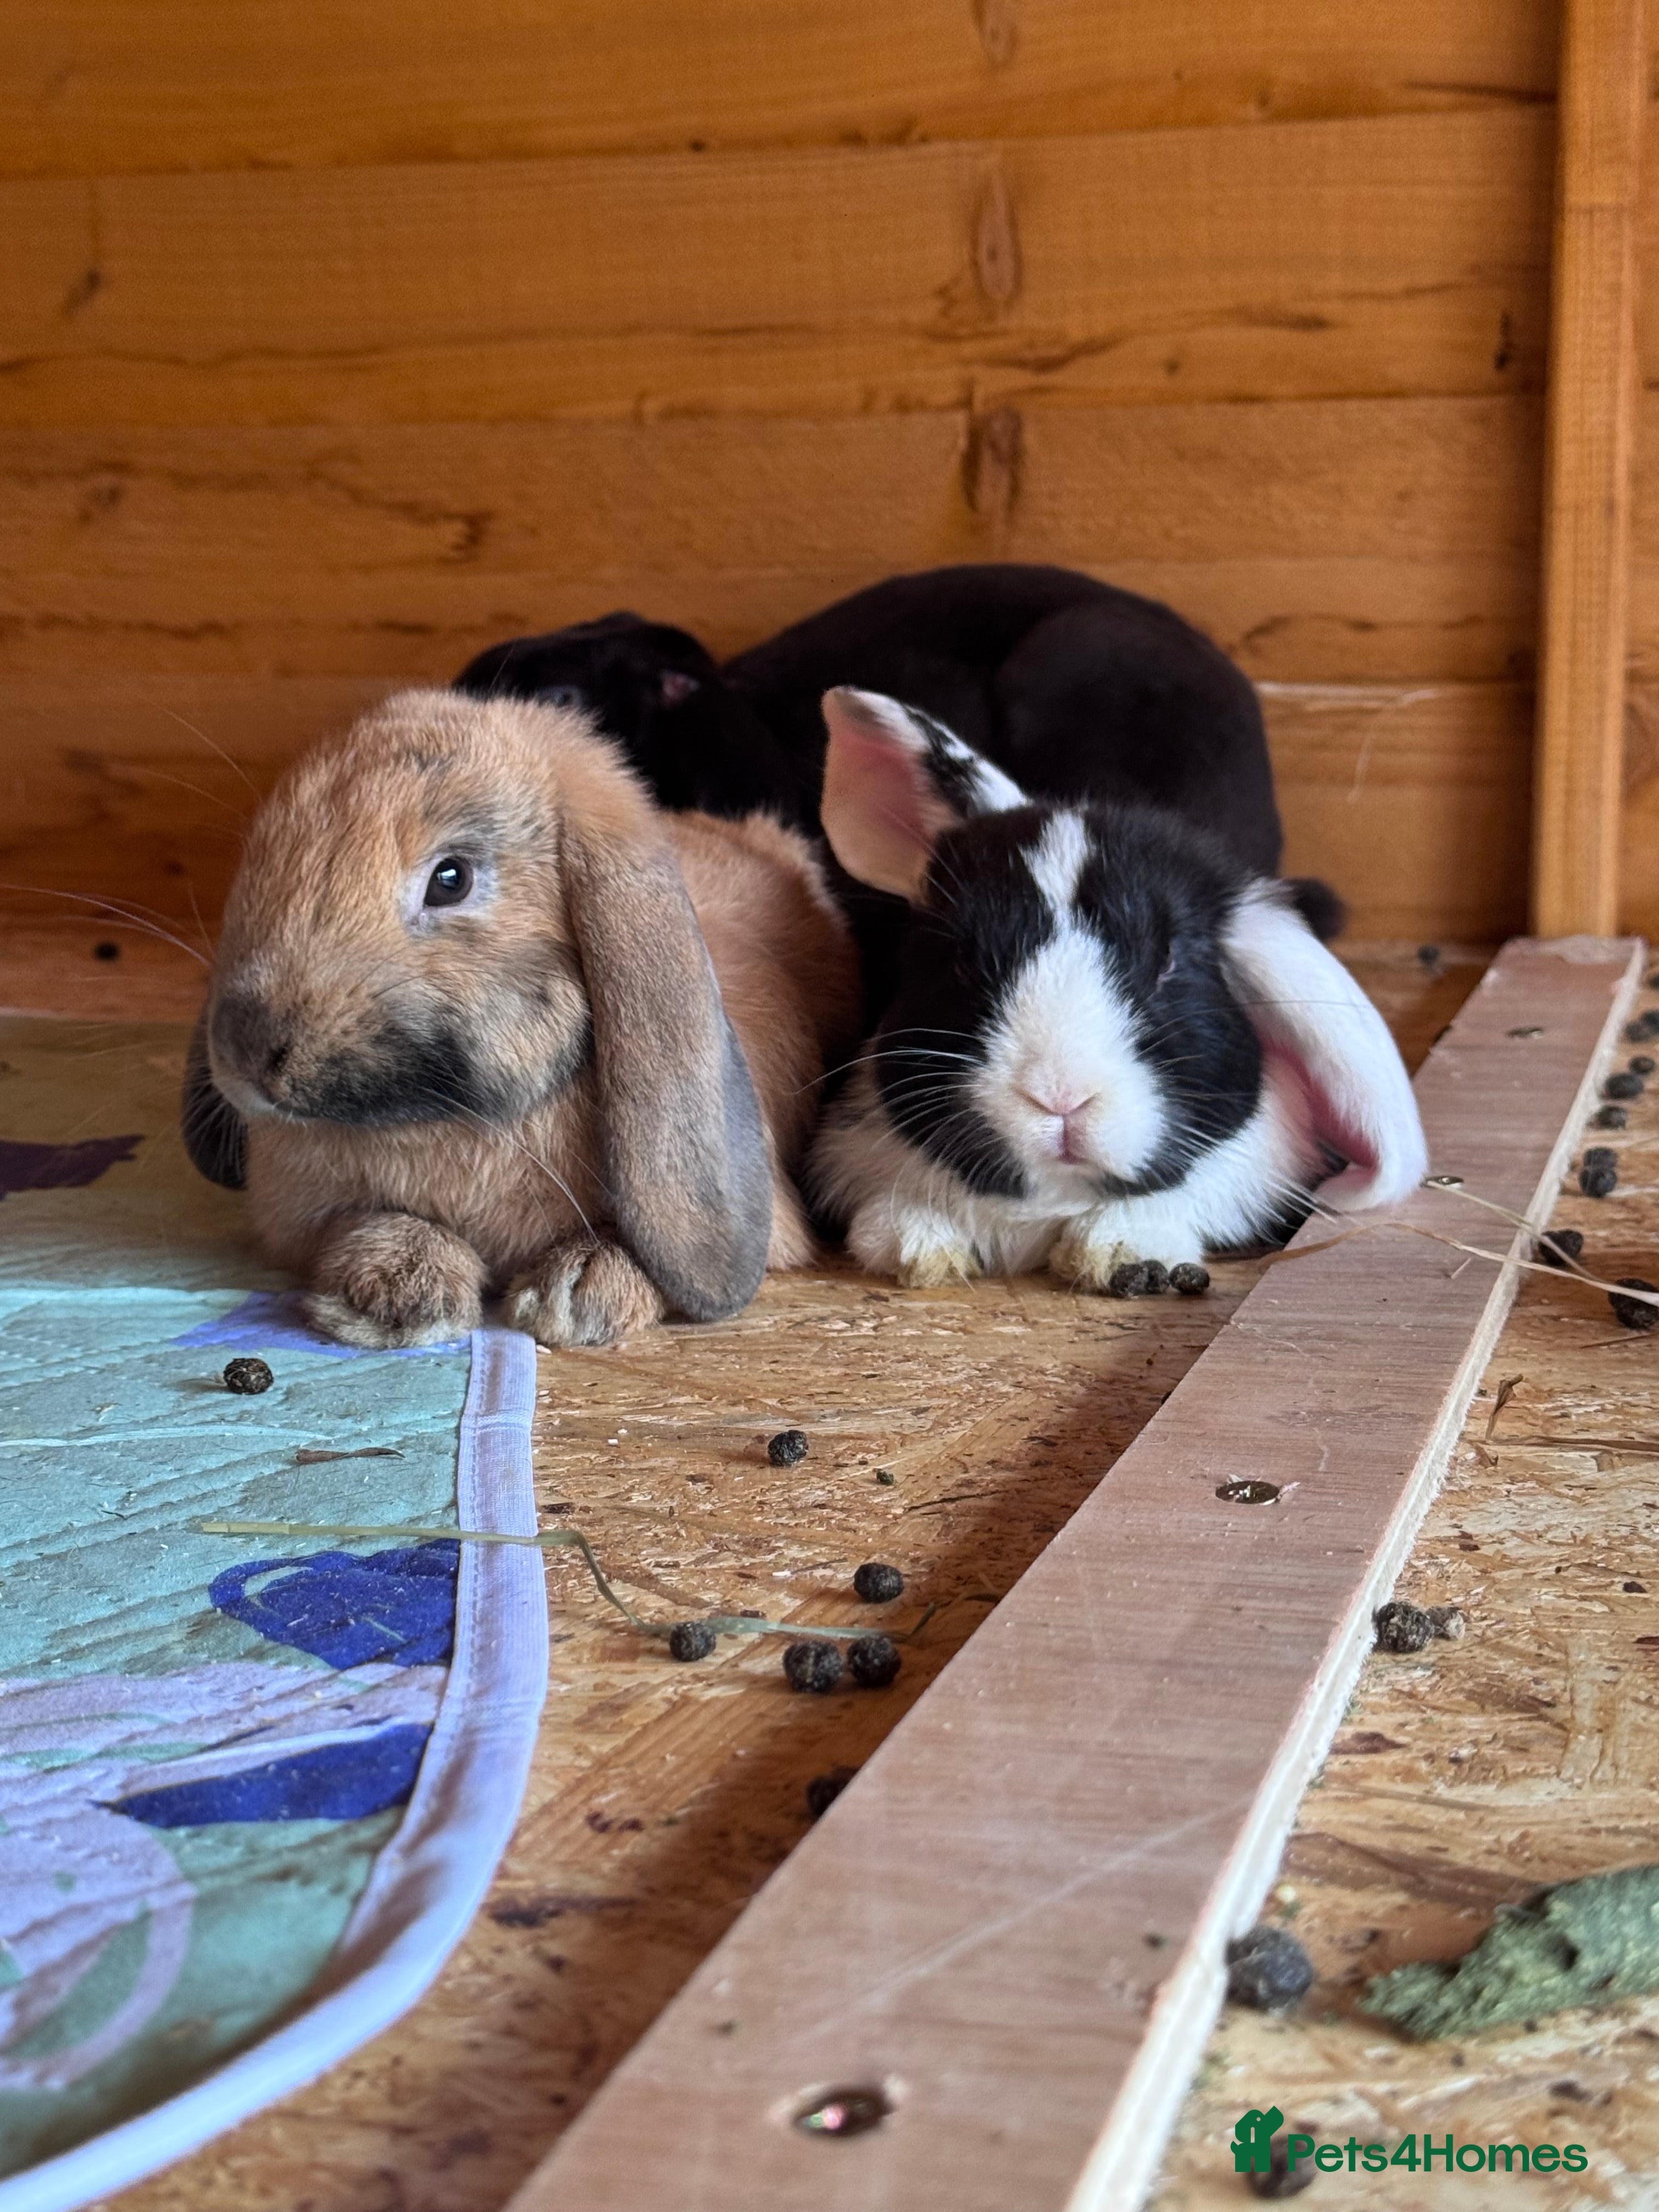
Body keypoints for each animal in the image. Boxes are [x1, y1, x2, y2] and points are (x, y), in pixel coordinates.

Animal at [181, 687, 859, 1349]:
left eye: (450, 879)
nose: (244, 1053)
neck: (457, 1118)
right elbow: (362, 1223)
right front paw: (399, 1292)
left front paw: (577, 1295)